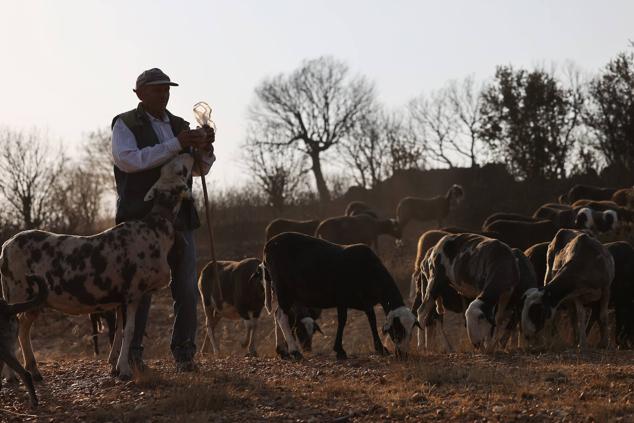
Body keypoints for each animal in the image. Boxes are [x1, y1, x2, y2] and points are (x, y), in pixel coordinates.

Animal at [0, 154, 194, 380]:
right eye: (181, 171)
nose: (189, 154)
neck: (156, 228)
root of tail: (6, 245)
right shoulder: (131, 293)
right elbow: (129, 331)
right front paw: (124, 370)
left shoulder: (120, 298)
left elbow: (118, 331)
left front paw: (115, 365)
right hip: (18, 293)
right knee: (13, 329)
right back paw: (12, 376)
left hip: (33, 300)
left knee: (23, 330)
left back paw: (33, 370)